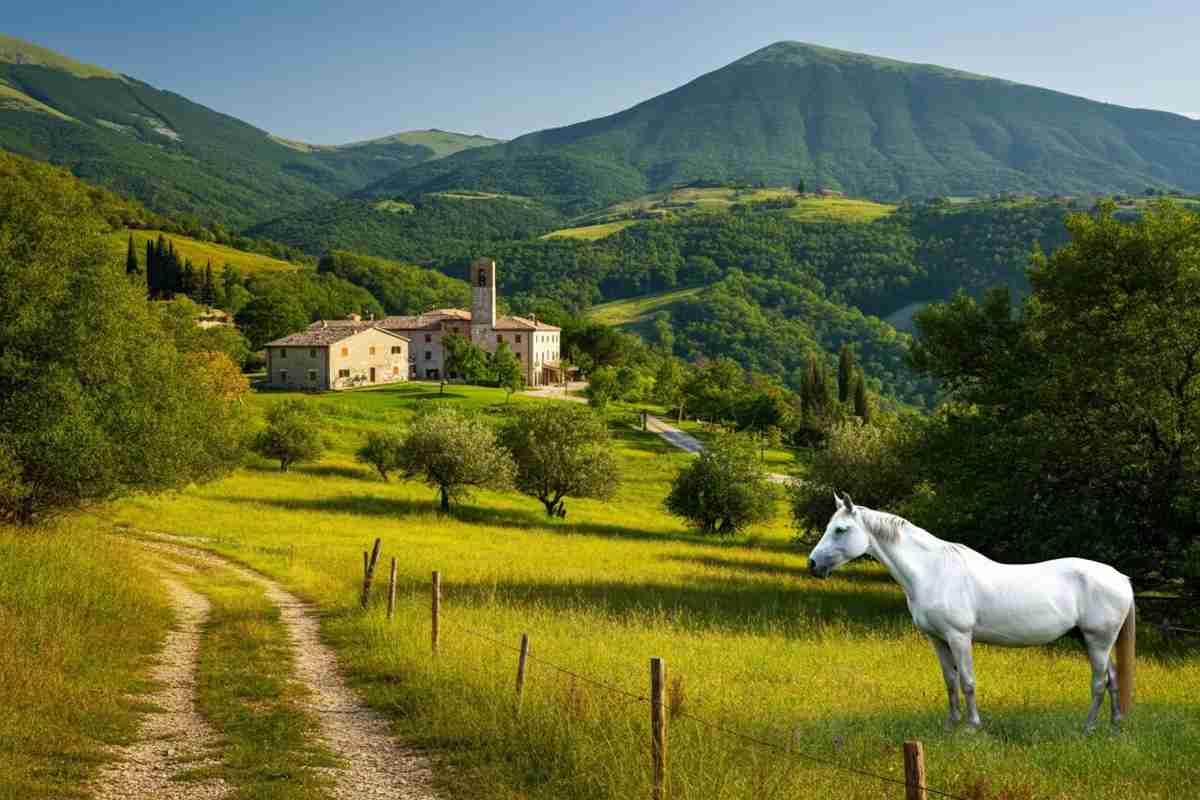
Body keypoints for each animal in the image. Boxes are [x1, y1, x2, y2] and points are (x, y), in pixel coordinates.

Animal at [806, 491, 1136, 733]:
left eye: (840, 530)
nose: (812, 564)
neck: (933, 572)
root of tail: (1121, 578)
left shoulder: (959, 637)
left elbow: (967, 681)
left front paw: (972, 727)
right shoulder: (938, 639)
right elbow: (950, 682)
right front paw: (950, 724)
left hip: (1098, 641)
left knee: (1099, 684)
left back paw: (1088, 728)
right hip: (1091, 641)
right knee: (1112, 679)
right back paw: (1115, 725)